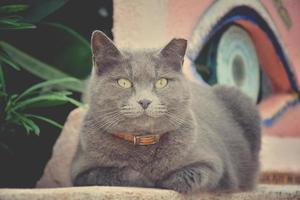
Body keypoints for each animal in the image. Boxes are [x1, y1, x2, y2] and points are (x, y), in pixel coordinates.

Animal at [70, 30, 260, 194]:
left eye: (161, 82)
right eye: (124, 82)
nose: (144, 101)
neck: (144, 143)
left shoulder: (217, 166)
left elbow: (193, 174)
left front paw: (162, 180)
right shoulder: (79, 173)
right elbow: (114, 173)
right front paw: (147, 180)